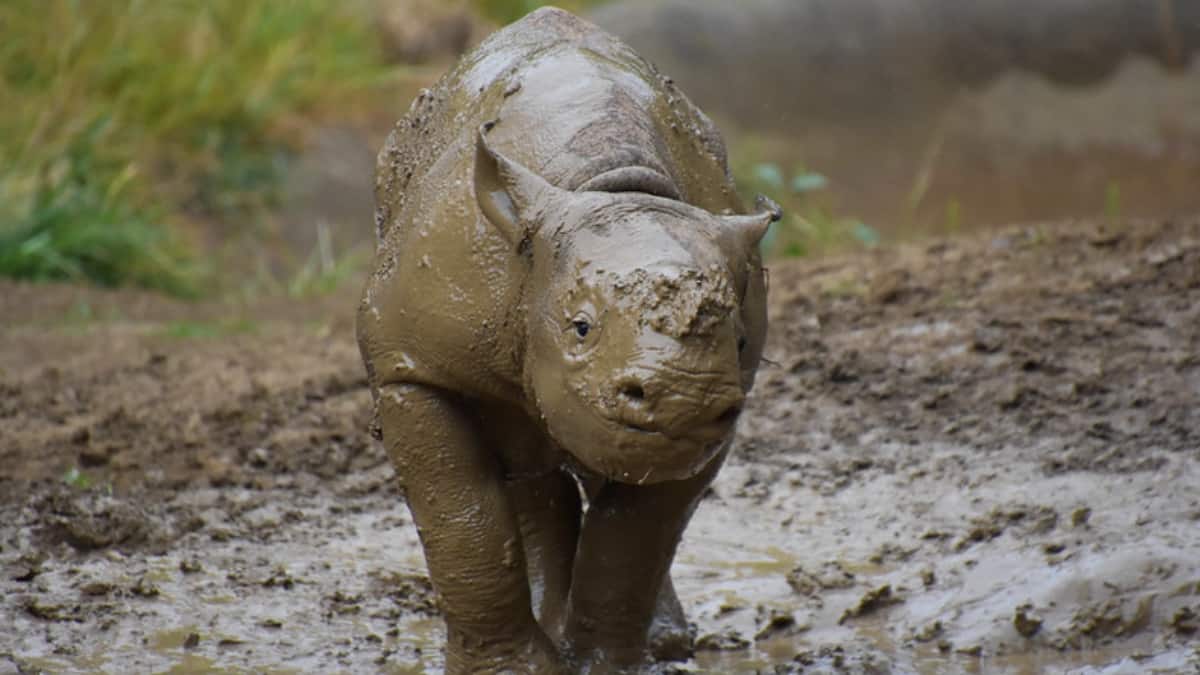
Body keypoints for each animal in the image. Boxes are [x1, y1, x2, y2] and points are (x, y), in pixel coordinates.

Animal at [357, 7, 778, 672]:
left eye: (736, 342)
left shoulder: (722, 413)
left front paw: (602, 665)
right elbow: (463, 520)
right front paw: (512, 670)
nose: (683, 397)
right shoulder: (411, 365)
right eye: (580, 327)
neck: (611, 190)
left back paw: (663, 642)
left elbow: (636, 537)